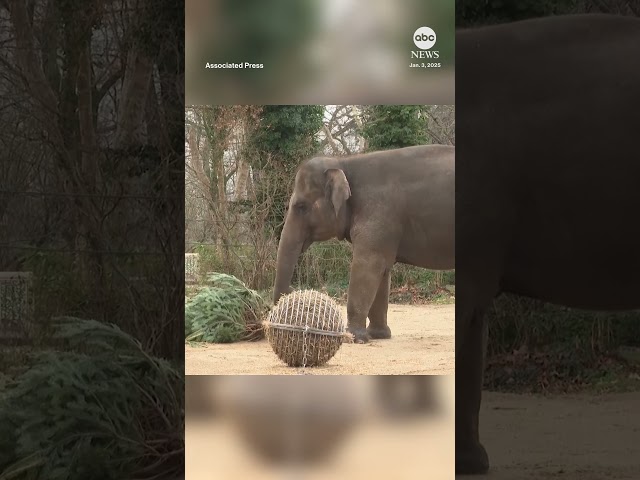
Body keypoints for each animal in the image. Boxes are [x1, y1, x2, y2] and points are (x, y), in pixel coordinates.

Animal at [272, 144, 452, 344]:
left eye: (301, 207)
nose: (293, 290)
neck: (343, 162)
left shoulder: (377, 213)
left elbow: (367, 266)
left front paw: (353, 338)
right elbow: (383, 271)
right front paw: (379, 335)